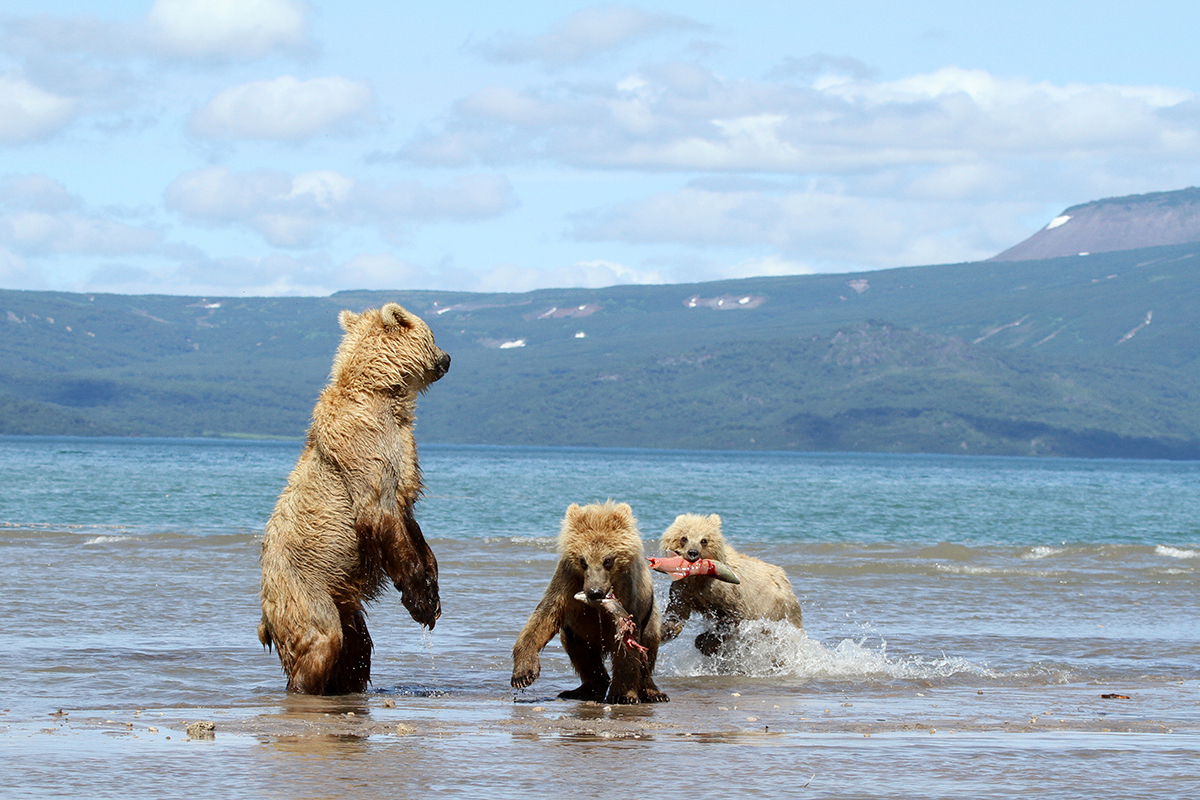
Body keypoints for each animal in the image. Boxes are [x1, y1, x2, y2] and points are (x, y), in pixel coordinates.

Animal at [258, 302, 451, 695]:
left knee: (356, 649)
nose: (448, 358)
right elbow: (380, 515)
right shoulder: (365, 449)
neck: (384, 395)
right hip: (303, 590)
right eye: (434, 335)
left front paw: (433, 588)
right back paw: (304, 687)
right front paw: (419, 601)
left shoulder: (401, 452)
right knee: (321, 640)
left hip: (343, 599)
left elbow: (409, 519)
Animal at [511, 503, 672, 705]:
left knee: (649, 644)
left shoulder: (627, 593)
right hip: (578, 631)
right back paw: (584, 689)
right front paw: (523, 675)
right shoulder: (567, 579)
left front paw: (623, 694)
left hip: (650, 613)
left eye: (608, 560)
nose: (595, 592)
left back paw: (653, 692)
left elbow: (627, 642)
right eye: (583, 561)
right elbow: (544, 616)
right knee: (580, 652)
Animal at [662, 513, 801, 657]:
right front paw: (665, 631)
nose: (693, 553)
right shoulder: (684, 590)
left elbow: (733, 617)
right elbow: (677, 613)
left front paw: (704, 642)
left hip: (780, 611)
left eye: (704, 540)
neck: (698, 577)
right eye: (684, 538)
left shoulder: (726, 593)